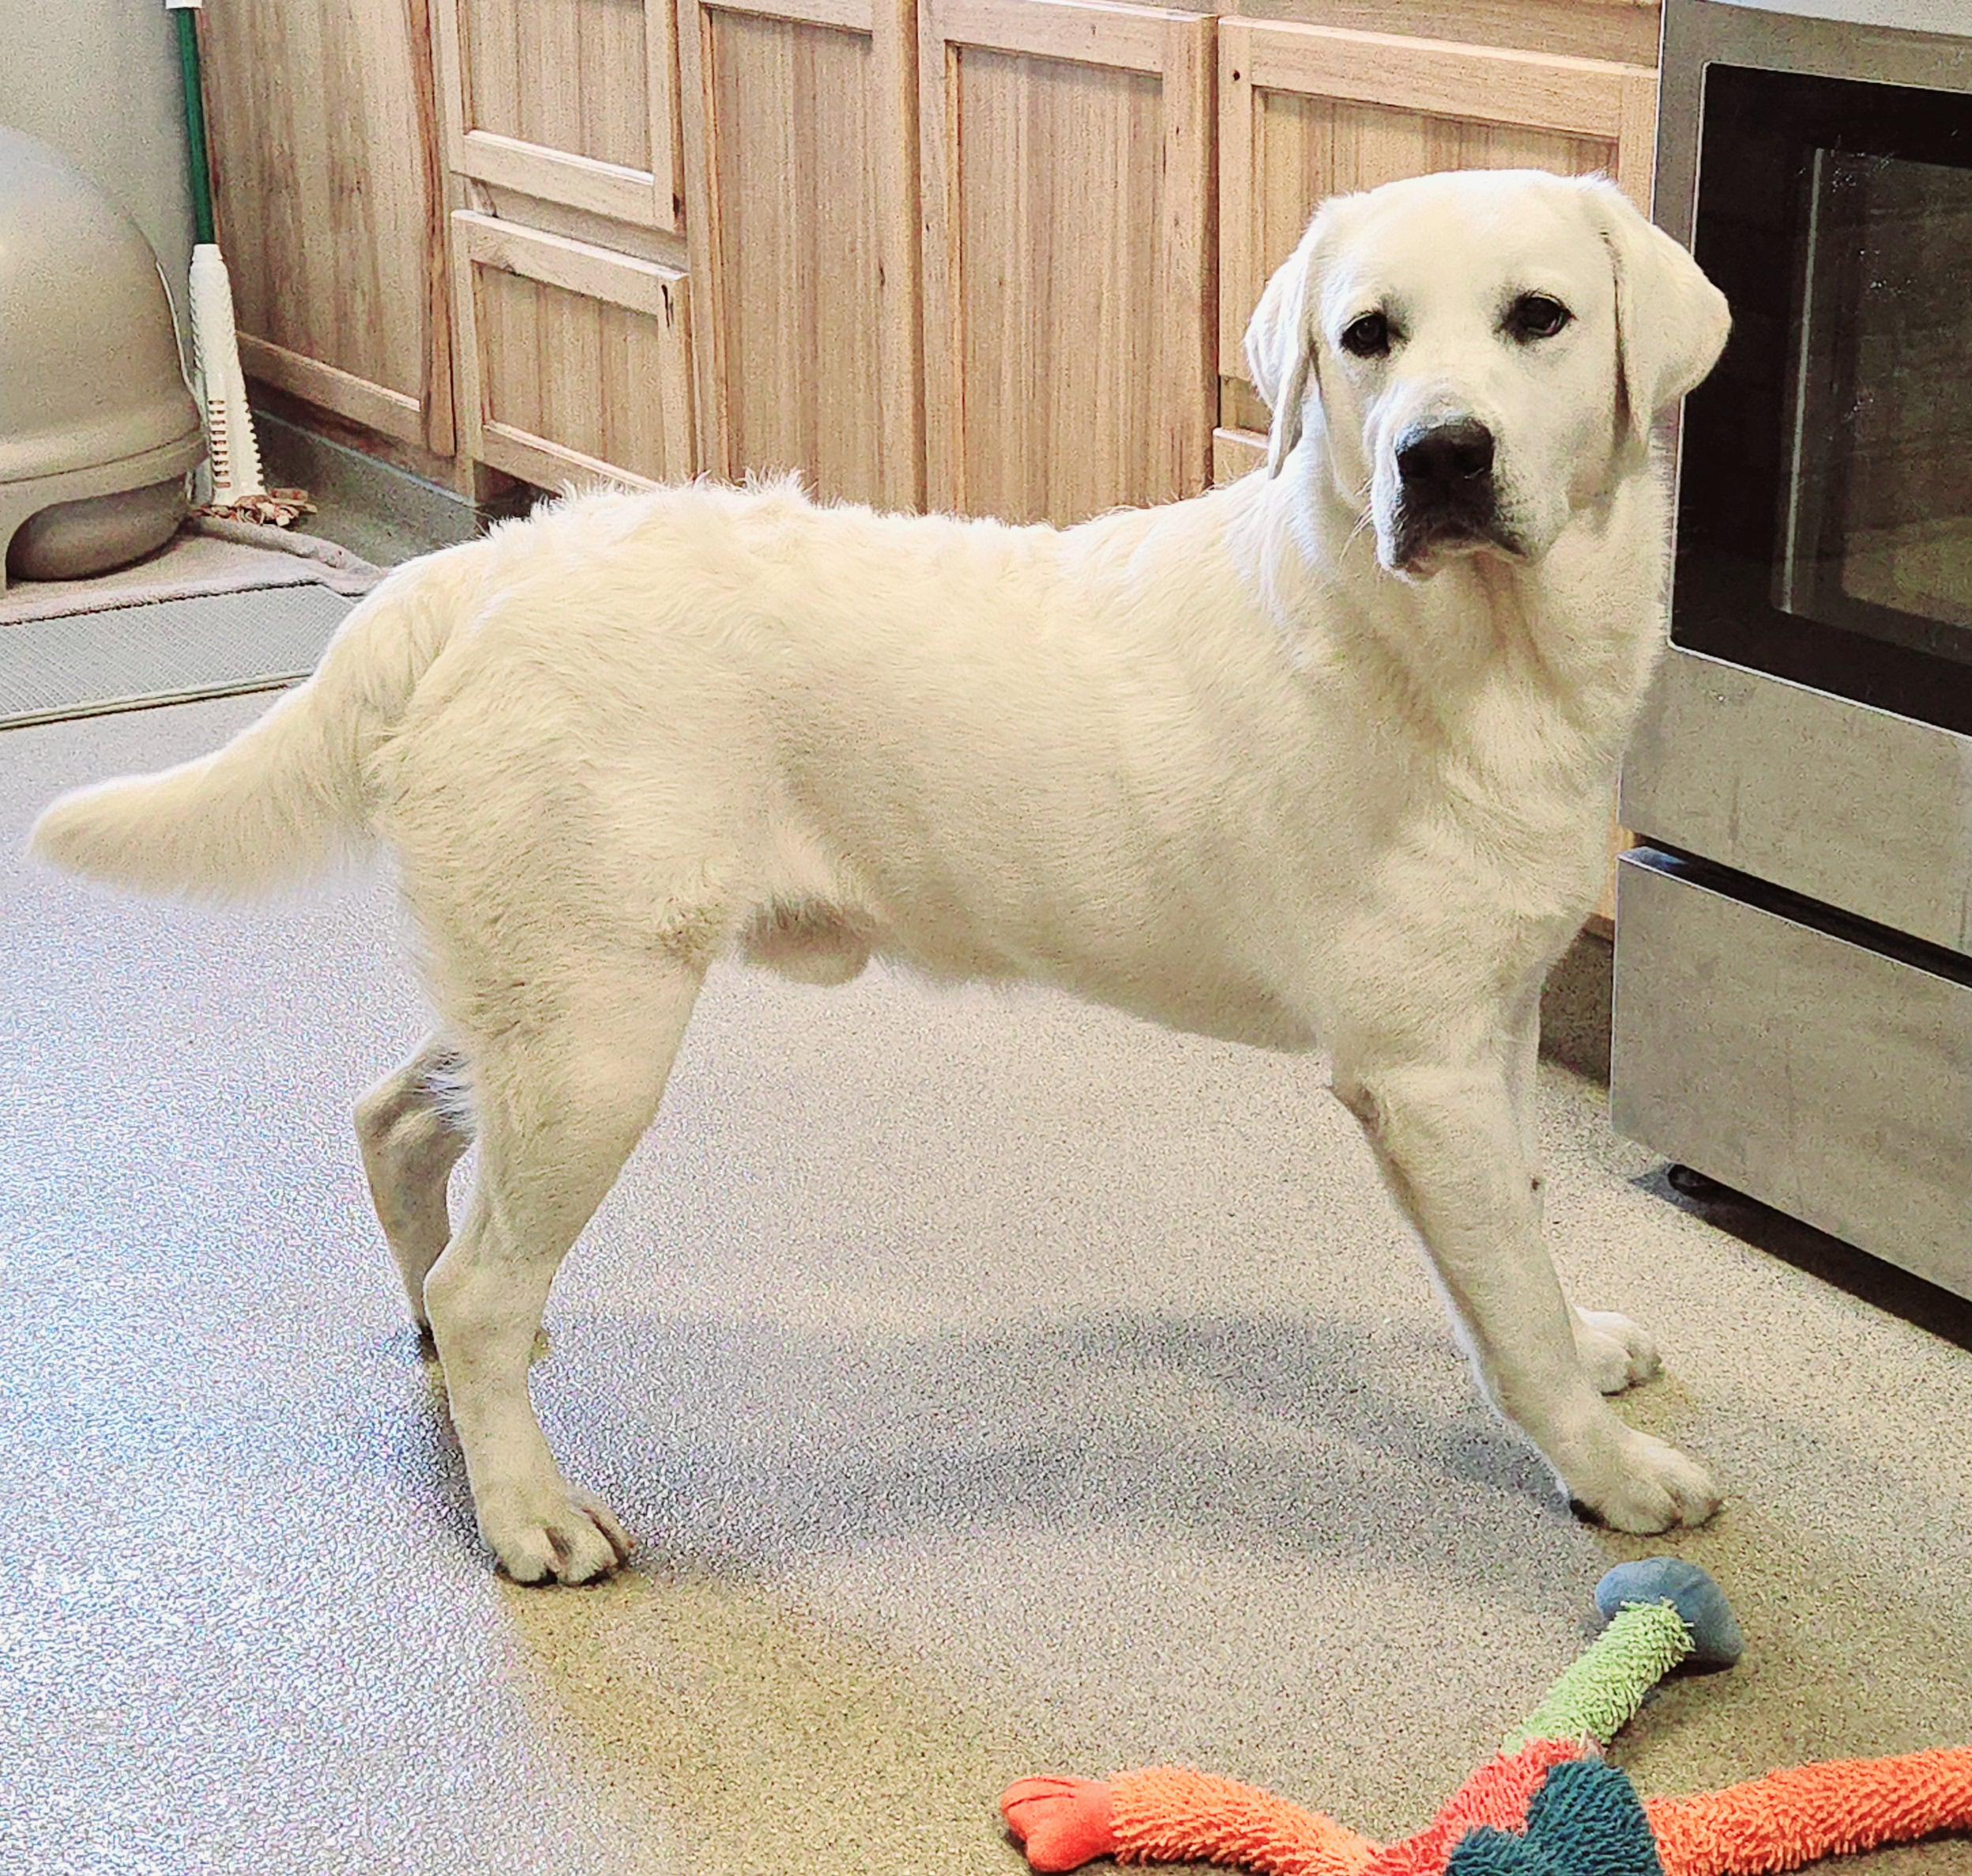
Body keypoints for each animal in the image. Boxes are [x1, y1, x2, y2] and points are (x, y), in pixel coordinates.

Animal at [31, 169, 1731, 1582]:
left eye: (1539, 318)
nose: (1437, 455)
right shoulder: (1417, 1069)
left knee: (398, 1136)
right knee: (482, 1279)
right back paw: (527, 1512)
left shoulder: (1494, 1025)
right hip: (600, 1037)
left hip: (533, 992)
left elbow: (1523, 1236)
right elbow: (1506, 1305)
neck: (1481, 659)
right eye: (1365, 337)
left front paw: (1589, 1347)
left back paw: (444, 1374)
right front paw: (1612, 1471)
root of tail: (476, 566)